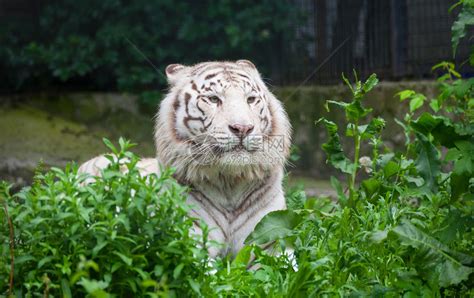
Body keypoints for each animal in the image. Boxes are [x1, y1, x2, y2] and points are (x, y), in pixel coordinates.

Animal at [79, 59, 290, 258]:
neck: (230, 182)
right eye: (213, 99)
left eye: (251, 99)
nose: (243, 128)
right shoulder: (188, 243)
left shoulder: (270, 239)